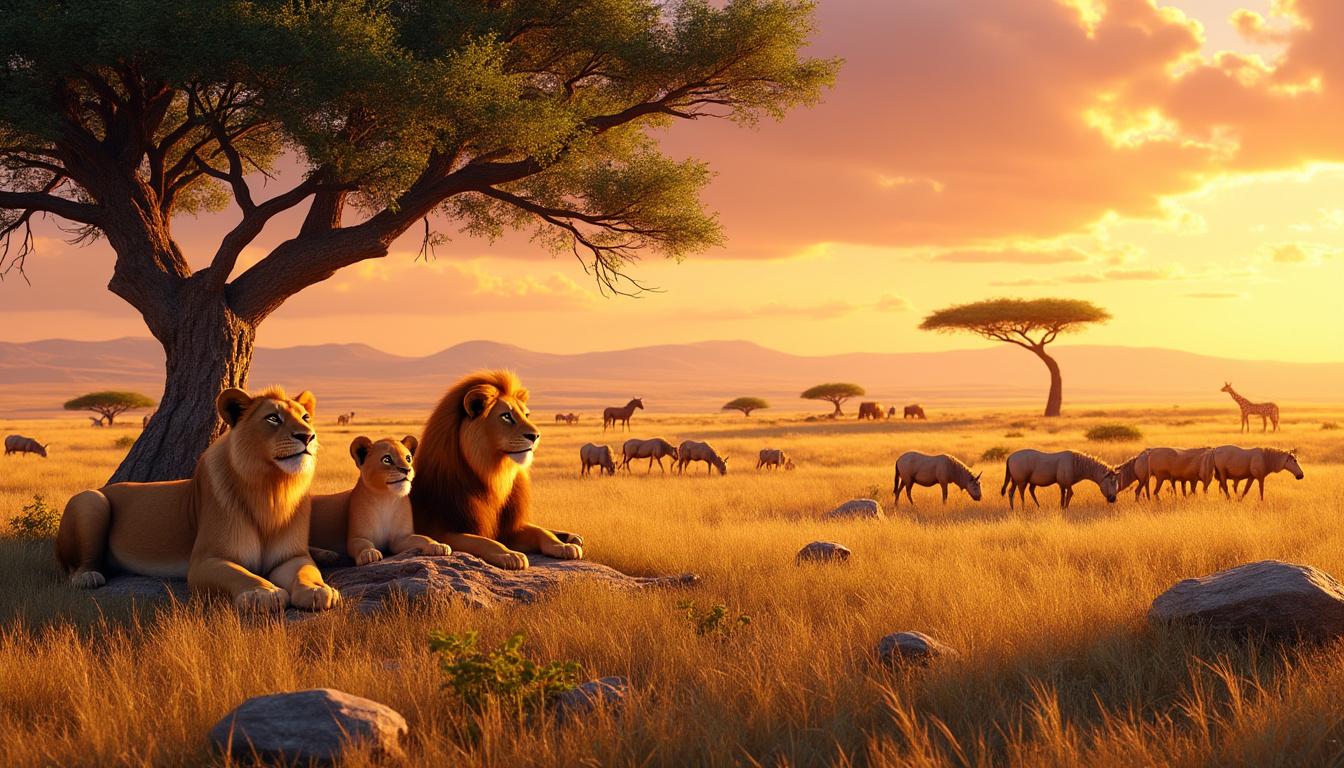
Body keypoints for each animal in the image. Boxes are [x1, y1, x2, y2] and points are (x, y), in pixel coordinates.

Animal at [54, 386, 339, 613]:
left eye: (305, 417)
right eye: (272, 418)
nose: (307, 436)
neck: (272, 489)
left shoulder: (290, 557)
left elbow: (305, 570)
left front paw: (317, 589)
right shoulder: (205, 561)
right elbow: (241, 574)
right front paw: (263, 593)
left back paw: (327, 554)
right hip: (91, 500)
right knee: (77, 565)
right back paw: (88, 576)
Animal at [309, 435, 451, 565]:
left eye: (408, 458)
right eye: (387, 459)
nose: (407, 469)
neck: (386, 498)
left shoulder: (400, 538)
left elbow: (423, 538)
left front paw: (438, 546)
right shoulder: (357, 536)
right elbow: (362, 544)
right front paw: (369, 553)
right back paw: (327, 555)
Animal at [410, 369, 583, 570]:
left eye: (527, 414)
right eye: (506, 416)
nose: (536, 436)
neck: (493, 476)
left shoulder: (509, 528)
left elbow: (540, 531)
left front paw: (562, 545)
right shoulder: (442, 532)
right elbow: (484, 541)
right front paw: (510, 555)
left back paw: (572, 538)